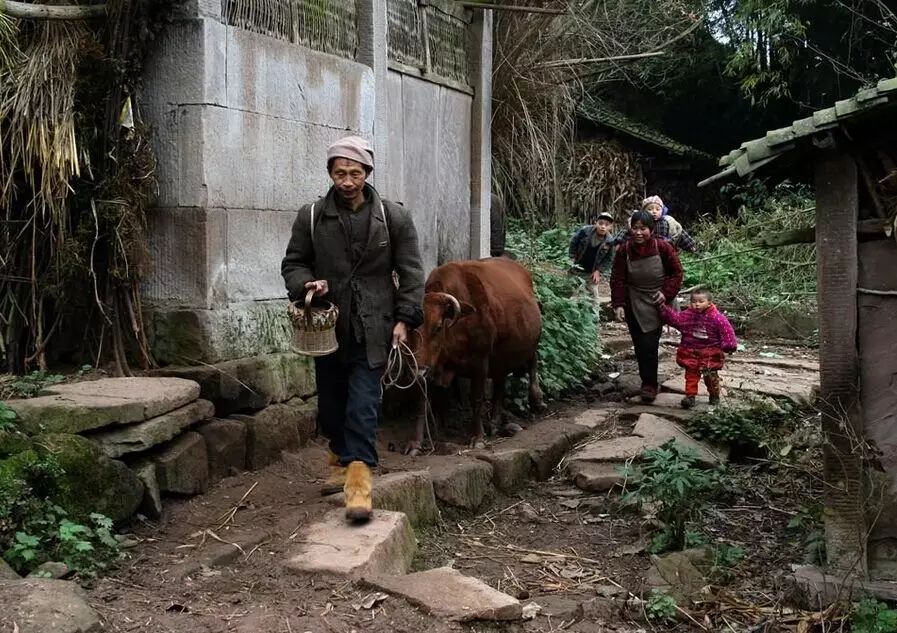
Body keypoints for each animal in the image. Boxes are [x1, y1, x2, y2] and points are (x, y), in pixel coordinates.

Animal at [410, 256, 544, 450]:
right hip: (502, 354)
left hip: (532, 339)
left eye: (438, 327)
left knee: (532, 363)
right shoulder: (432, 365)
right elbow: (424, 401)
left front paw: (477, 437)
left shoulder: (480, 360)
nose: (419, 370)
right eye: (410, 328)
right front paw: (418, 441)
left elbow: (477, 398)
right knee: (499, 385)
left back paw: (537, 399)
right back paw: (494, 422)